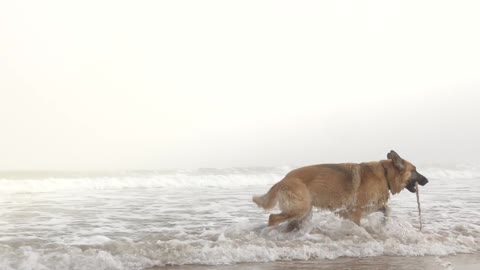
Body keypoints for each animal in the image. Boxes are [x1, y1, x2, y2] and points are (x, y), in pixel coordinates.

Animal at [253, 150, 430, 230]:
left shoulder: (368, 207)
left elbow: (387, 209)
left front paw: (384, 224)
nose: (427, 181)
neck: (385, 174)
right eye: (414, 170)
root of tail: (283, 179)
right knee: (272, 218)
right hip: (299, 209)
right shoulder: (356, 211)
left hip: (302, 213)